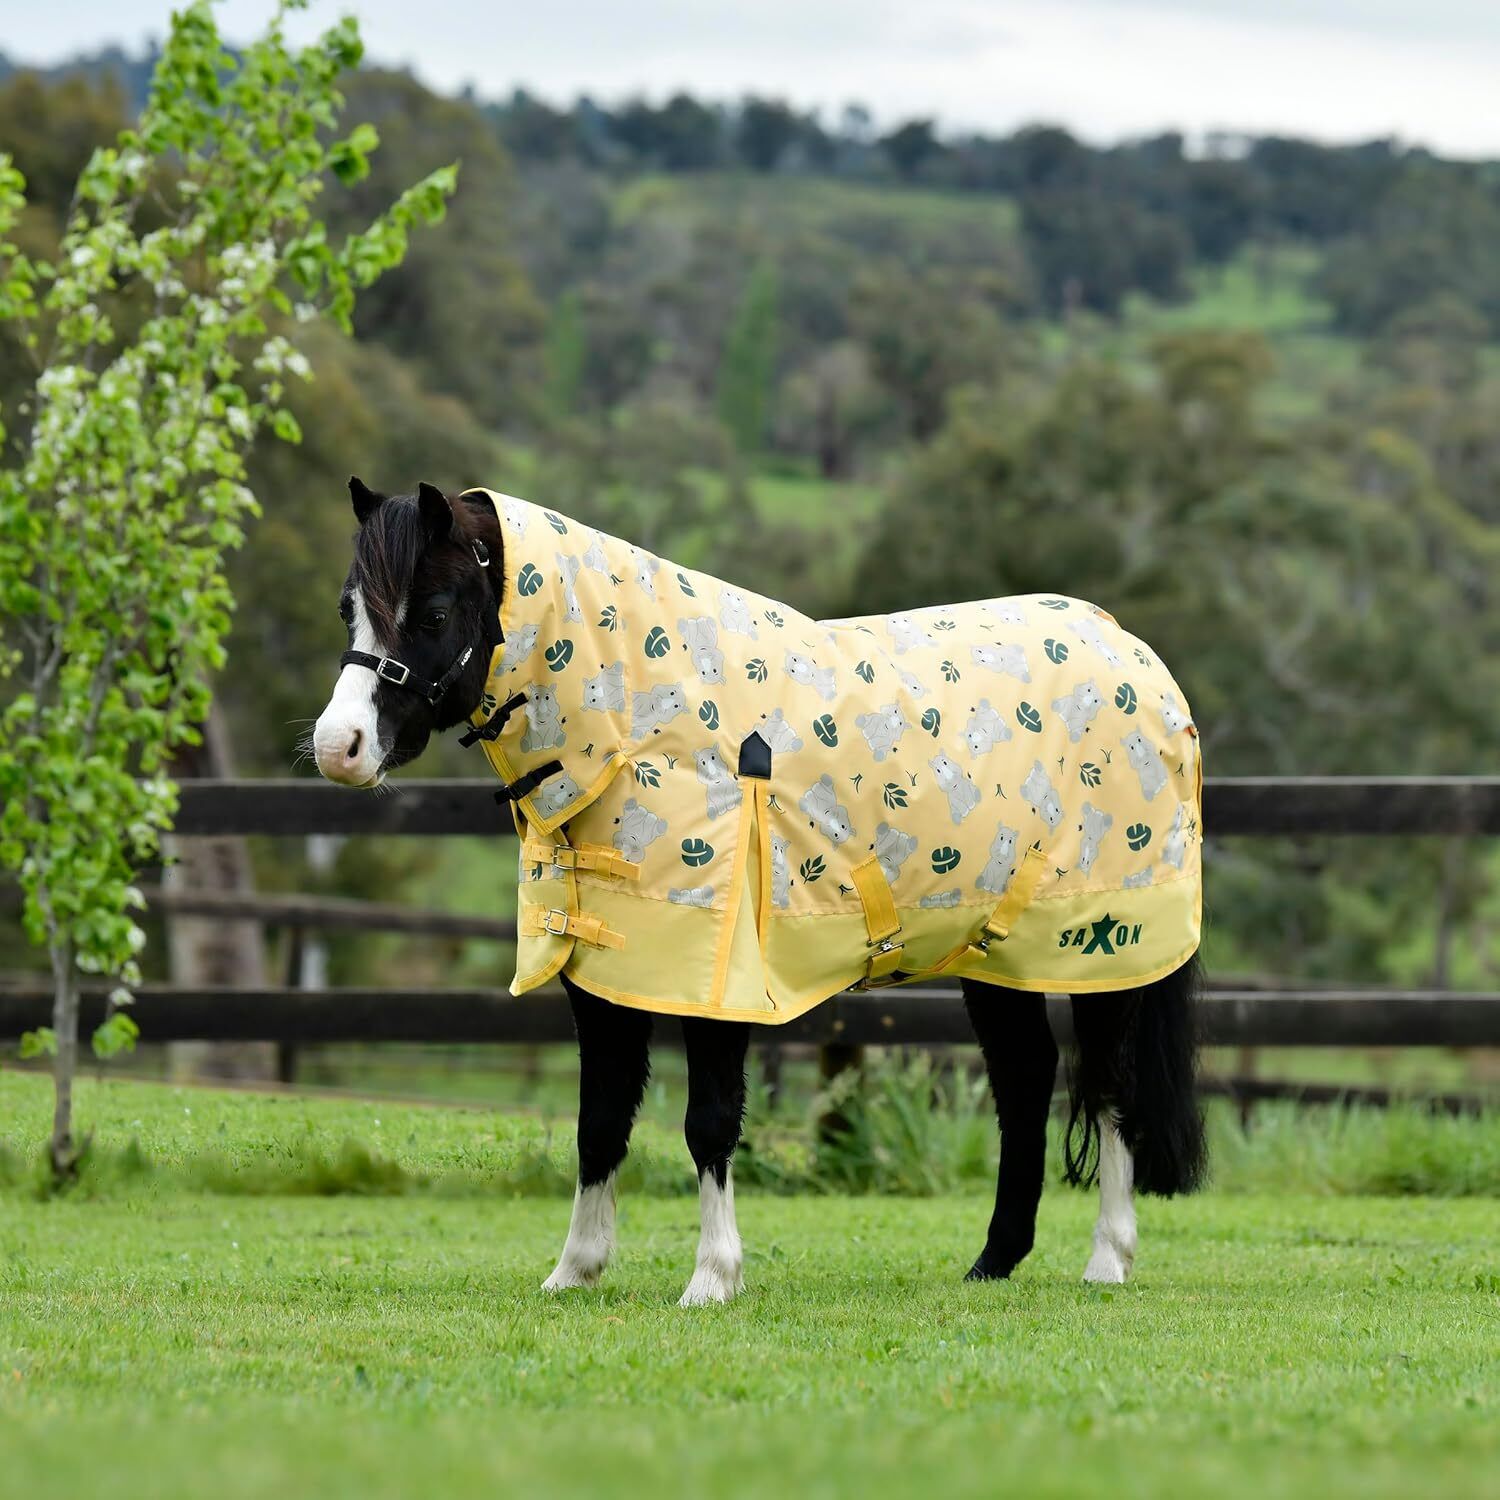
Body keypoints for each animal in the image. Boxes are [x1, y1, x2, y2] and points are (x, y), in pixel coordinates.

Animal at [312, 478, 1206, 1305]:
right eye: (349, 609)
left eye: (433, 611)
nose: (338, 746)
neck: (648, 726)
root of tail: (1135, 657)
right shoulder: (604, 978)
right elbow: (599, 1120)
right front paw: (576, 1271)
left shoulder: (720, 982)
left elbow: (708, 1121)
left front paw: (712, 1277)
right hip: (992, 954)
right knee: (1026, 1080)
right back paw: (993, 1262)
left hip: (1103, 952)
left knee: (1110, 1086)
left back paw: (1107, 1260)